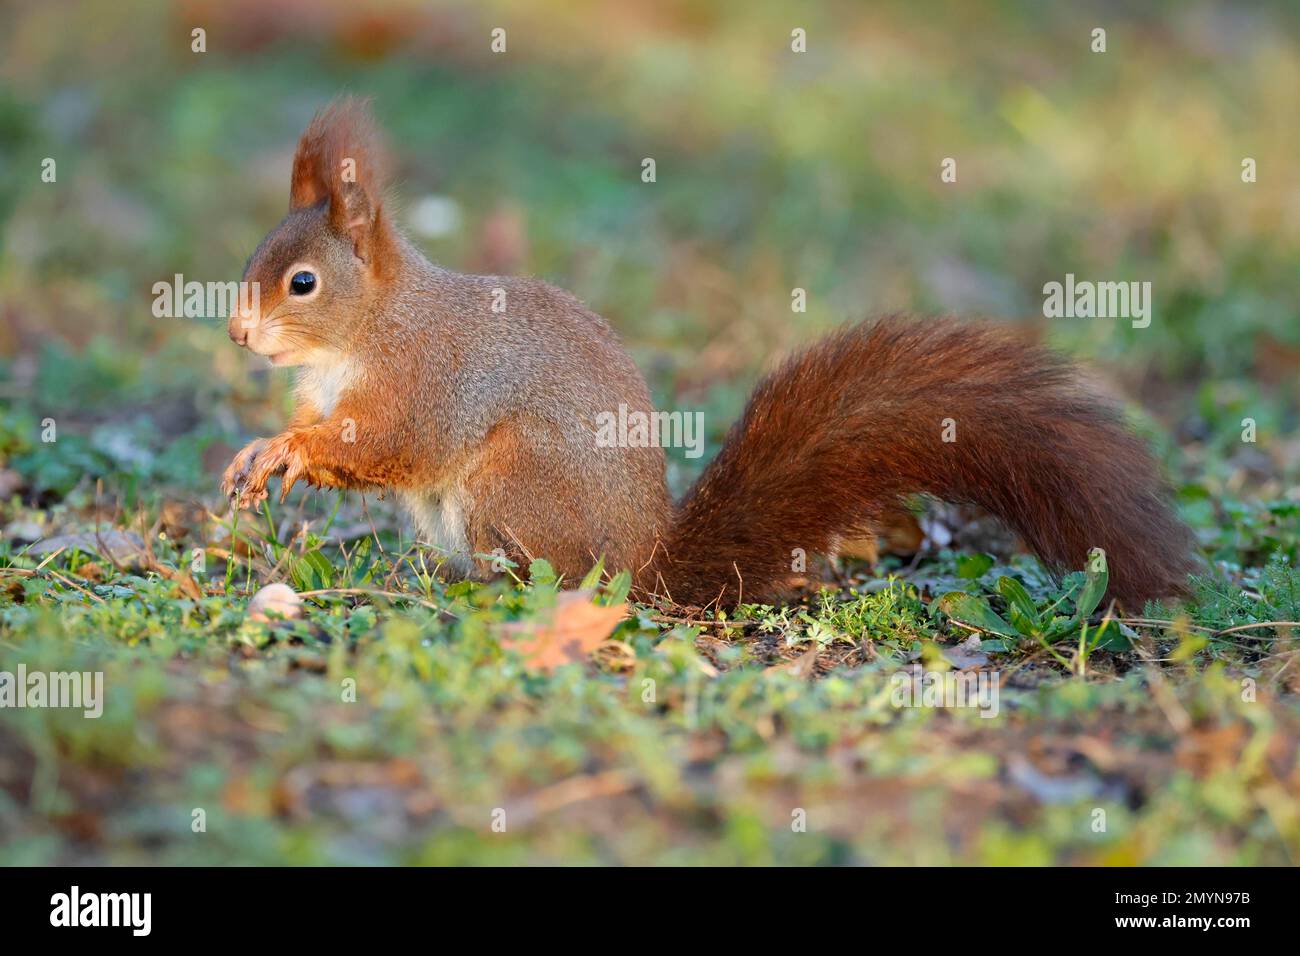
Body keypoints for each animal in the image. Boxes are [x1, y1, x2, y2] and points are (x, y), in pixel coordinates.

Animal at [218, 97, 1190, 606]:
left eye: (301, 282)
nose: (236, 334)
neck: (366, 332)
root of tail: (646, 562)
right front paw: (260, 450)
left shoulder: (431, 378)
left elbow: (392, 443)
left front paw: (290, 451)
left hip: (512, 482)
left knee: (554, 577)